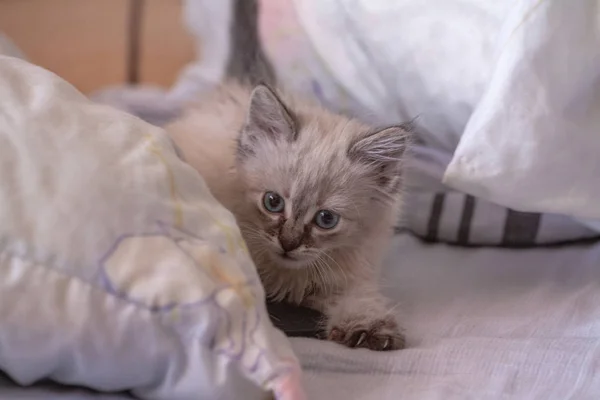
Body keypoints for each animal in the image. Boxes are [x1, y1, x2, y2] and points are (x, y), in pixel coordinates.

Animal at [166, 0, 410, 350]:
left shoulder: (350, 276)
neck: (286, 276)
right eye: (273, 202)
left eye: (326, 219)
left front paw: (369, 325)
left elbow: (360, 298)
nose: (288, 243)